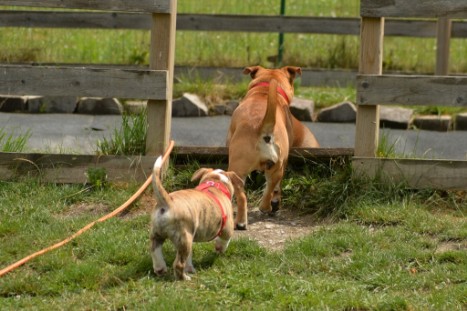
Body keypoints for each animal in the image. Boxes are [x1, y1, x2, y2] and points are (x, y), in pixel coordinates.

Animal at [151, 151, 245, 280]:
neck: (215, 183)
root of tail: (167, 202)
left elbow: (189, 257)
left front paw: (190, 268)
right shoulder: (227, 228)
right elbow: (225, 240)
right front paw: (220, 248)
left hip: (159, 234)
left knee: (156, 251)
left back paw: (160, 269)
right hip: (184, 237)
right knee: (178, 264)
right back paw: (184, 278)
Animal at [226, 66, 320, 230]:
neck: (263, 90)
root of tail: (262, 126)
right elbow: (276, 187)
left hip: (238, 169)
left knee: (244, 195)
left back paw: (243, 220)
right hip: (278, 165)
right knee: (271, 186)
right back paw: (265, 207)